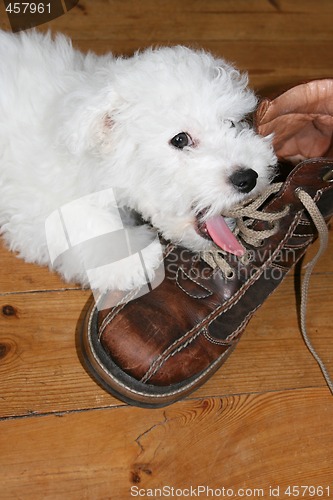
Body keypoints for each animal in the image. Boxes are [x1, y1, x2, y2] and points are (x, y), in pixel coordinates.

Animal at [0, 30, 274, 292]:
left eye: (230, 123)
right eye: (180, 139)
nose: (247, 178)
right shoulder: (39, 198)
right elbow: (83, 220)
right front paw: (130, 260)